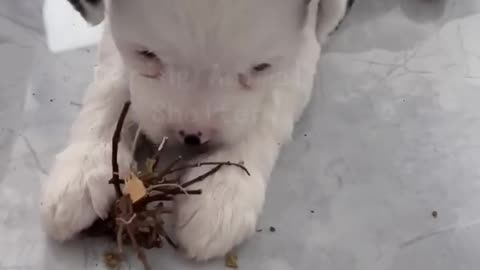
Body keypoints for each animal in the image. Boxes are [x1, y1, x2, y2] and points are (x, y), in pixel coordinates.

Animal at [40, 0, 352, 260]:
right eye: (146, 53)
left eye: (261, 67)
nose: (192, 137)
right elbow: (113, 78)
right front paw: (85, 167)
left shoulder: (305, 45)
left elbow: (272, 104)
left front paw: (223, 190)